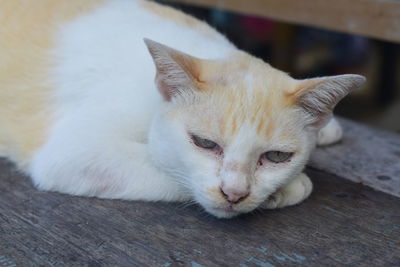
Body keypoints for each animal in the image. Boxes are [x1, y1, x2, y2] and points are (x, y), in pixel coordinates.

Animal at [0, 0, 364, 218]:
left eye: (275, 157)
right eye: (204, 143)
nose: (234, 193)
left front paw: (326, 127)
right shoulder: (74, 154)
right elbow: (170, 170)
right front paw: (289, 188)